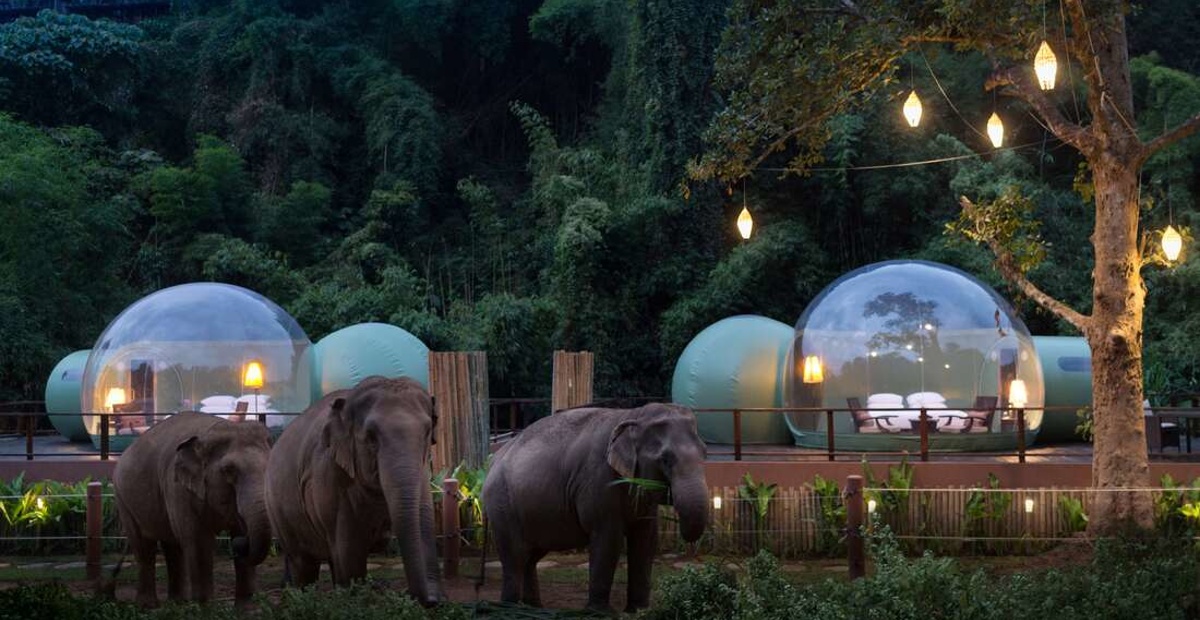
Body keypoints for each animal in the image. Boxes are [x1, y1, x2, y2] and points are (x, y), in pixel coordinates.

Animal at [112, 412, 272, 607]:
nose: (240, 545)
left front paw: (245, 610)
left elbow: (238, 531)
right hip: (123, 499)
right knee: (144, 548)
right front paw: (205, 608)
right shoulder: (178, 488)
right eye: (229, 470)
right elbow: (198, 541)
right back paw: (148, 606)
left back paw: (177, 603)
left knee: (172, 547)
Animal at [265, 375, 444, 604]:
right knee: (304, 563)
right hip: (278, 511)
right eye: (371, 437)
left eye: (427, 432)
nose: (431, 600)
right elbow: (350, 553)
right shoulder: (329, 476)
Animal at [482, 403, 709, 613]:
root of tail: (491, 462)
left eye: (705, 453)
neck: (632, 414)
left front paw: (639, 610)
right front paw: (600, 612)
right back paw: (508, 608)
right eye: (665, 459)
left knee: (530, 557)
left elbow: (646, 539)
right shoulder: (598, 481)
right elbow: (608, 538)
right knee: (514, 557)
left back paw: (535, 608)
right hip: (502, 505)